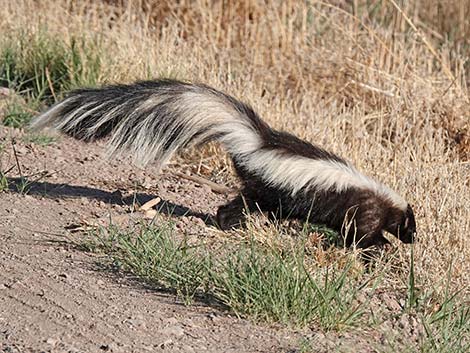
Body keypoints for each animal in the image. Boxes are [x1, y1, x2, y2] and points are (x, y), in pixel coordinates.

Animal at [31, 79, 416, 248]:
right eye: (411, 226)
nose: (412, 241)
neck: (387, 200)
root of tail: (255, 141)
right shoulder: (364, 207)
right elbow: (358, 233)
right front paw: (377, 247)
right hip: (268, 189)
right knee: (241, 205)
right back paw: (227, 224)